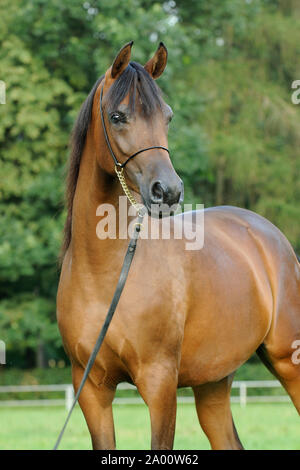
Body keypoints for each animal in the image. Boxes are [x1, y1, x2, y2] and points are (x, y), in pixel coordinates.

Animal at [57, 42, 300, 450]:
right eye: (117, 116)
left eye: (167, 117)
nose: (167, 190)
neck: (107, 271)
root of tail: (268, 234)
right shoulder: (90, 388)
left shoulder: (160, 384)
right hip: (213, 382)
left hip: (289, 360)